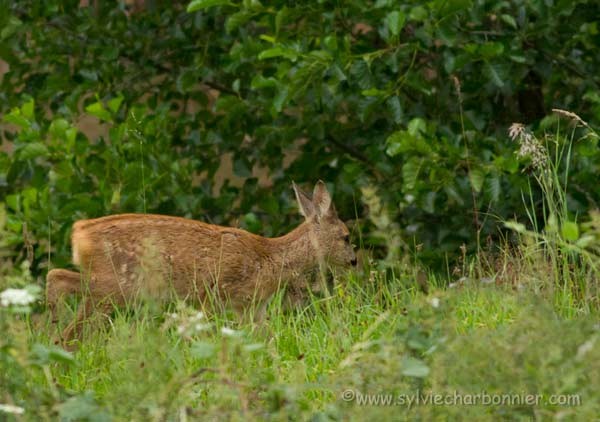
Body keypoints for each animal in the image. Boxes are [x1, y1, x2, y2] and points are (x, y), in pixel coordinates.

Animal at [48, 180, 356, 342]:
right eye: (346, 236)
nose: (354, 261)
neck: (271, 259)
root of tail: (79, 233)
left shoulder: (252, 308)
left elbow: (266, 338)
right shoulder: (215, 295)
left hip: (108, 286)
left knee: (58, 282)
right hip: (116, 286)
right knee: (63, 303)